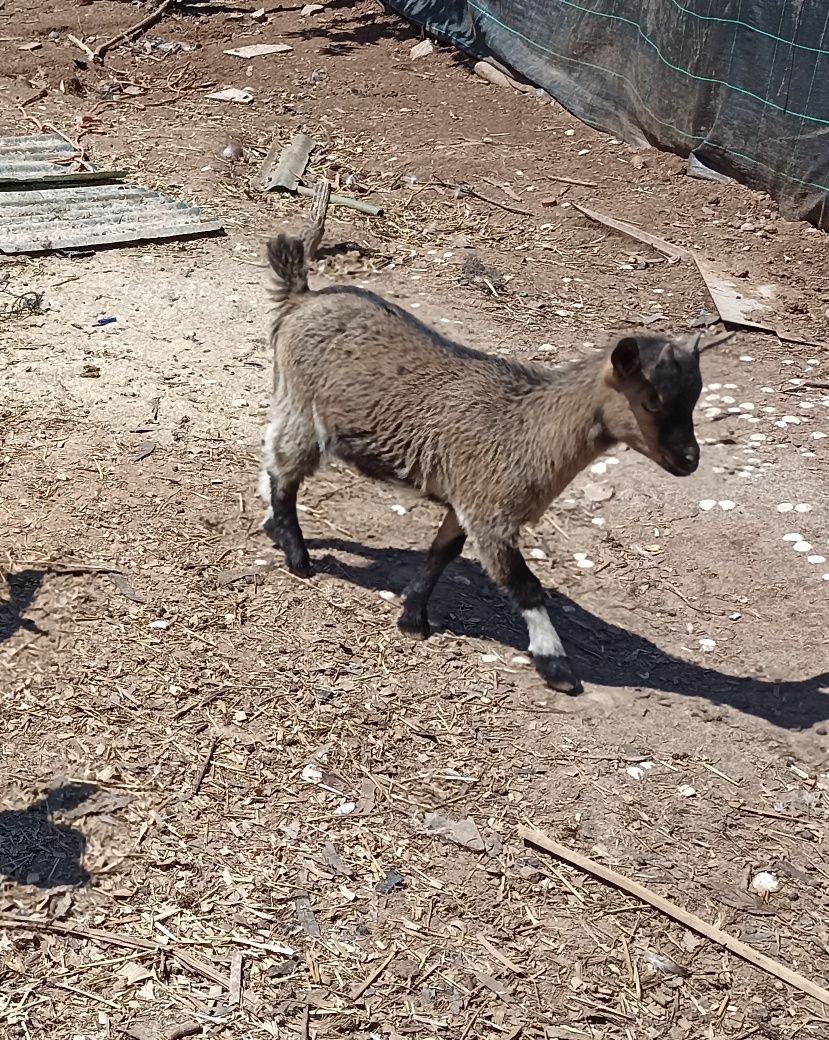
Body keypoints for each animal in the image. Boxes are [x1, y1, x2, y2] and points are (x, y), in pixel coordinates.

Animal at [258, 235, 698, 690]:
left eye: (694, 399)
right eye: (651, 402)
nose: (690, 459)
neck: (530, 427)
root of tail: (304, 297)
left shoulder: (466, 501)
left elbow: (442, 553)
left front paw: (413, 618)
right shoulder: (491, 513)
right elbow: (525, 585)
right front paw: (556, 664)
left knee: (274, 455)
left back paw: (272, 525)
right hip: (302, 403)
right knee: (284, 471)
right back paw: (297, 556)